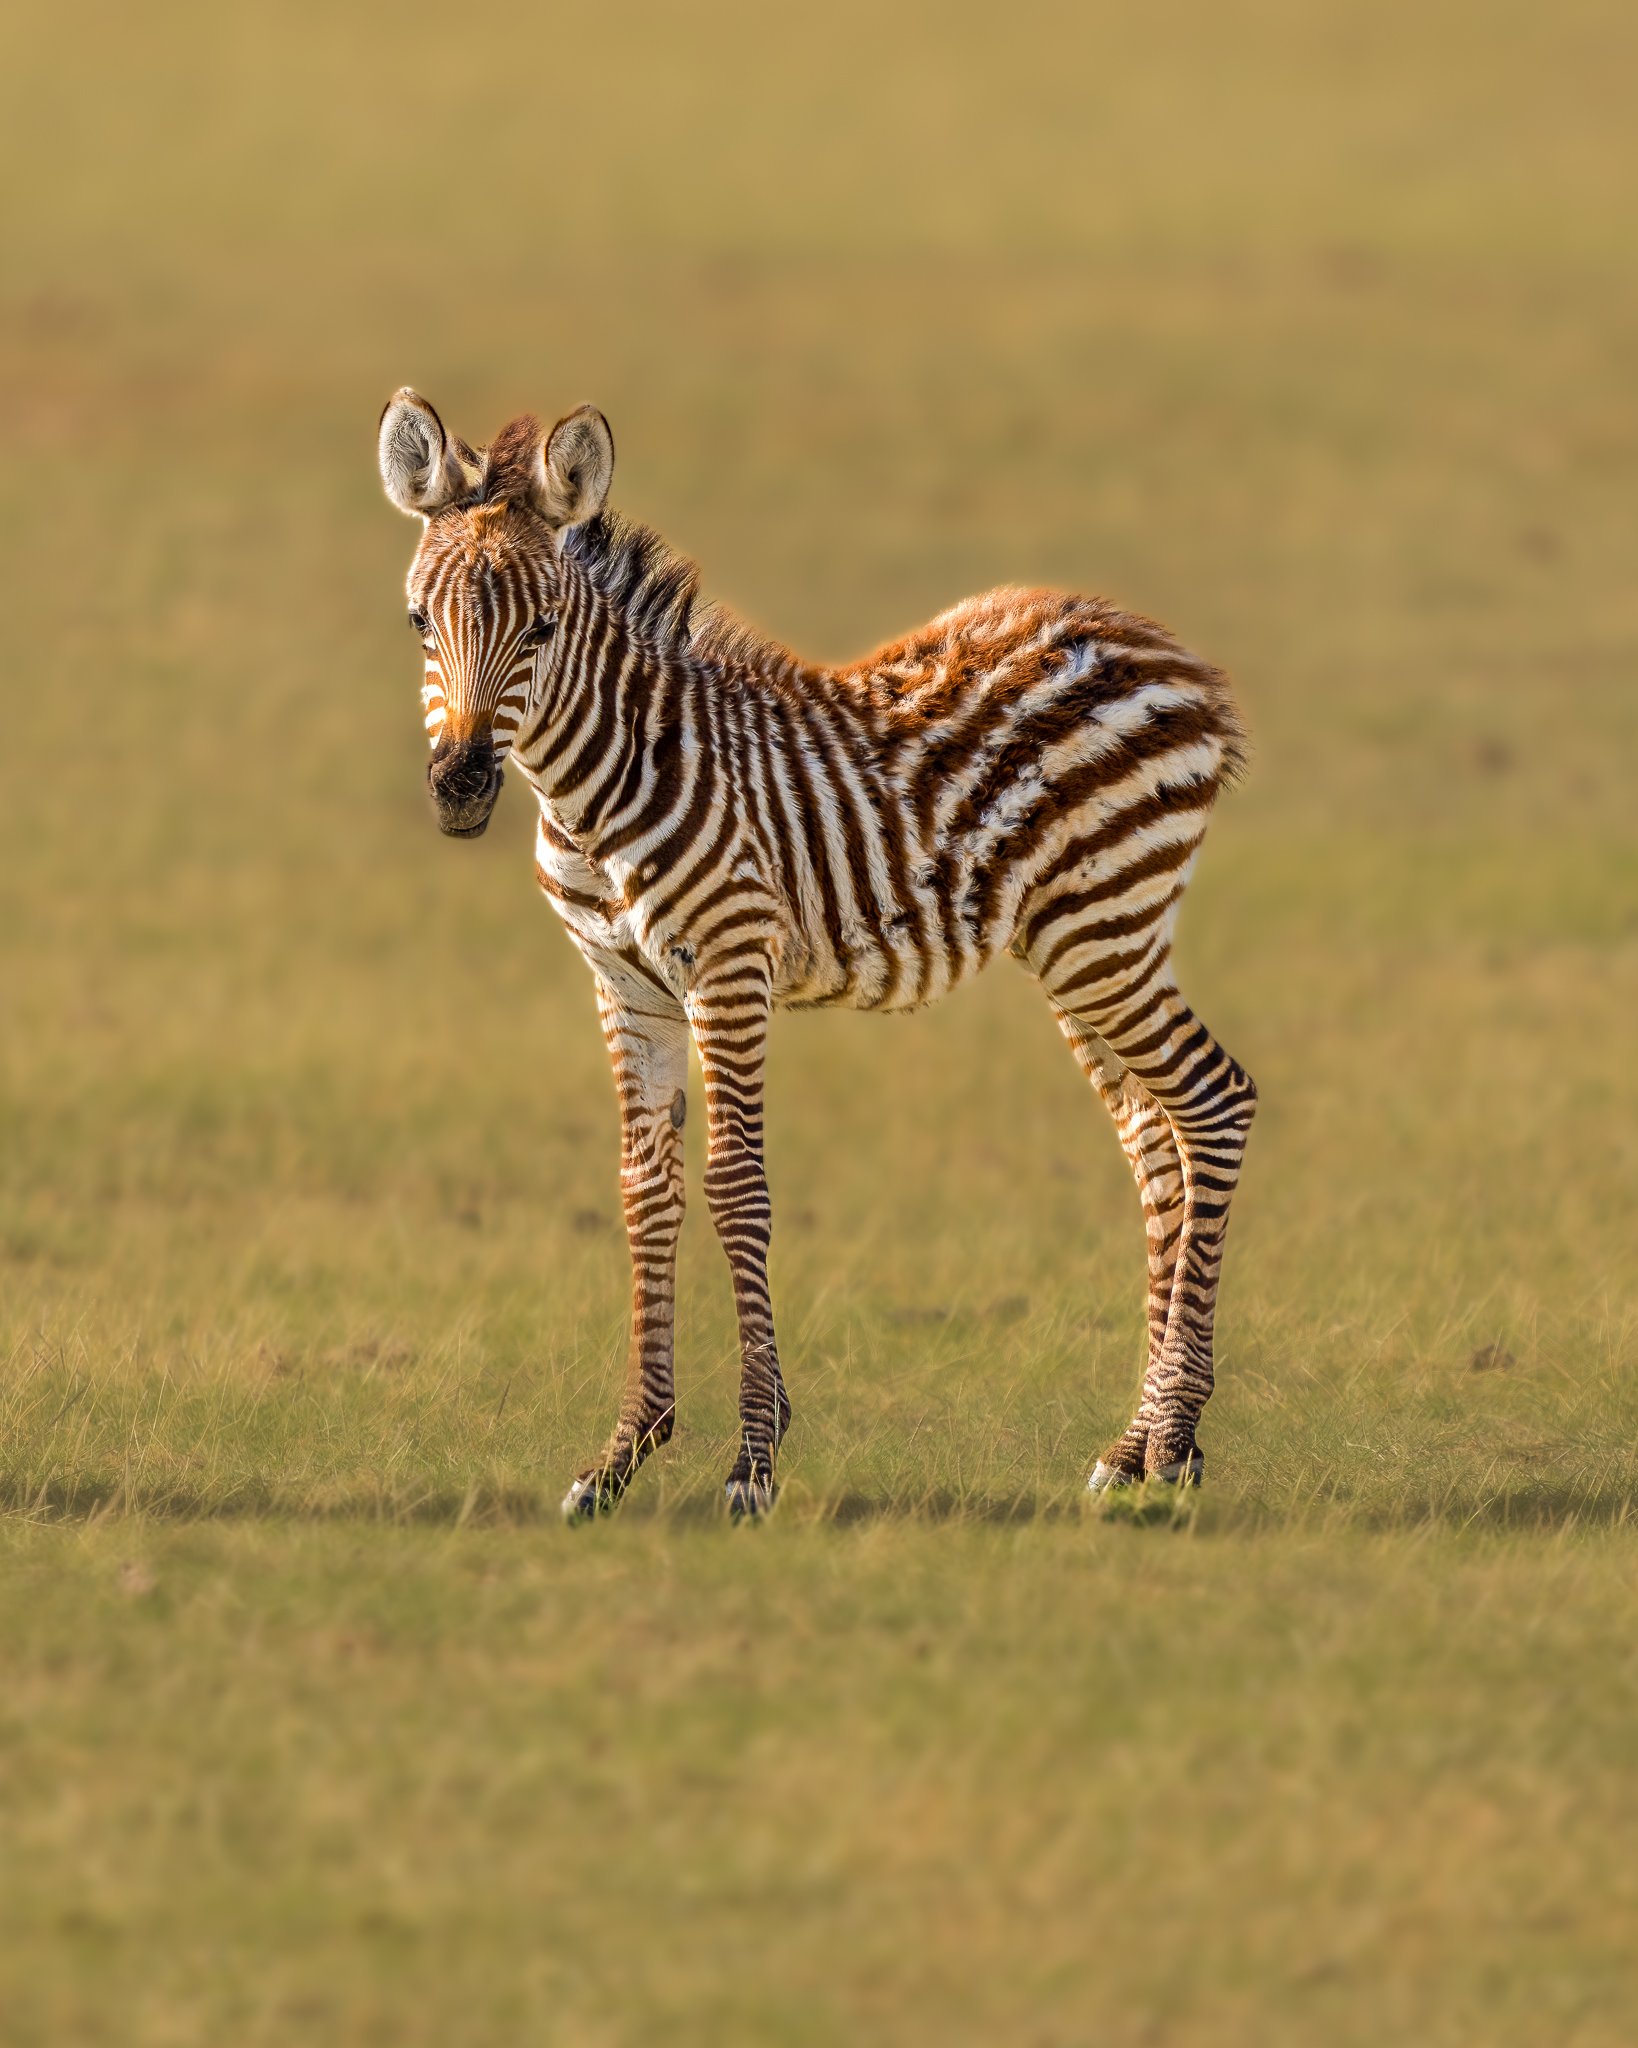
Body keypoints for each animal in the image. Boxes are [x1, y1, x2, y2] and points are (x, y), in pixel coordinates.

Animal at [376, 390, 1257, 1519]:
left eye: (542, 626)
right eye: (418, 620)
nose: (459, 788)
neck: (594, 794)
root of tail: (1165, 649)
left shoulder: (728, 966)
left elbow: (736, 1186)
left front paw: (753, 1462)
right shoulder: (624, 987)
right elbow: (643, 1189)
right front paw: (621, 1456)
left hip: (1107, 925)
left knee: (1215, 1103)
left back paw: (1180, 1437)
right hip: (1084, 943)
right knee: (1157, 1140)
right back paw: (1136, 1445)